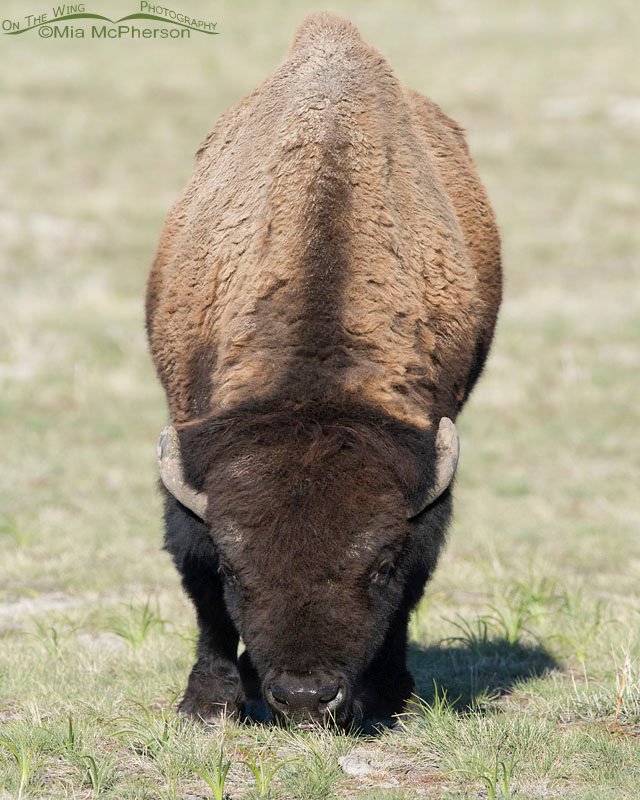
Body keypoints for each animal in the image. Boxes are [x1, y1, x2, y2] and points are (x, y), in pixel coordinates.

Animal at [146, 12, 501, 727]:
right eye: (234, 568)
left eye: (380, 566)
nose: (306, 697)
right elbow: (201, 594)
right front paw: (208, 702)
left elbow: (413, 591)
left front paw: (389, 694)